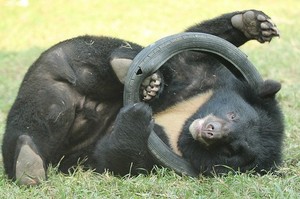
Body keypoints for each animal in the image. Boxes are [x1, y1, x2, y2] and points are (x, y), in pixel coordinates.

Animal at [1, 10, 284, 186]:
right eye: (232, 114)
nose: (210, 130)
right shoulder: (204, 77)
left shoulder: (166, 155)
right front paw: (254, 24)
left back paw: (28, 166)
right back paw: (134, 72)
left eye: (232, 149)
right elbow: (191, 49)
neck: (185, 120)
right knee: (103, 53)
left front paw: (137, 116)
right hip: (57, 63)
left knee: (35, 122)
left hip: (48, 102)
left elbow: (115, 157)